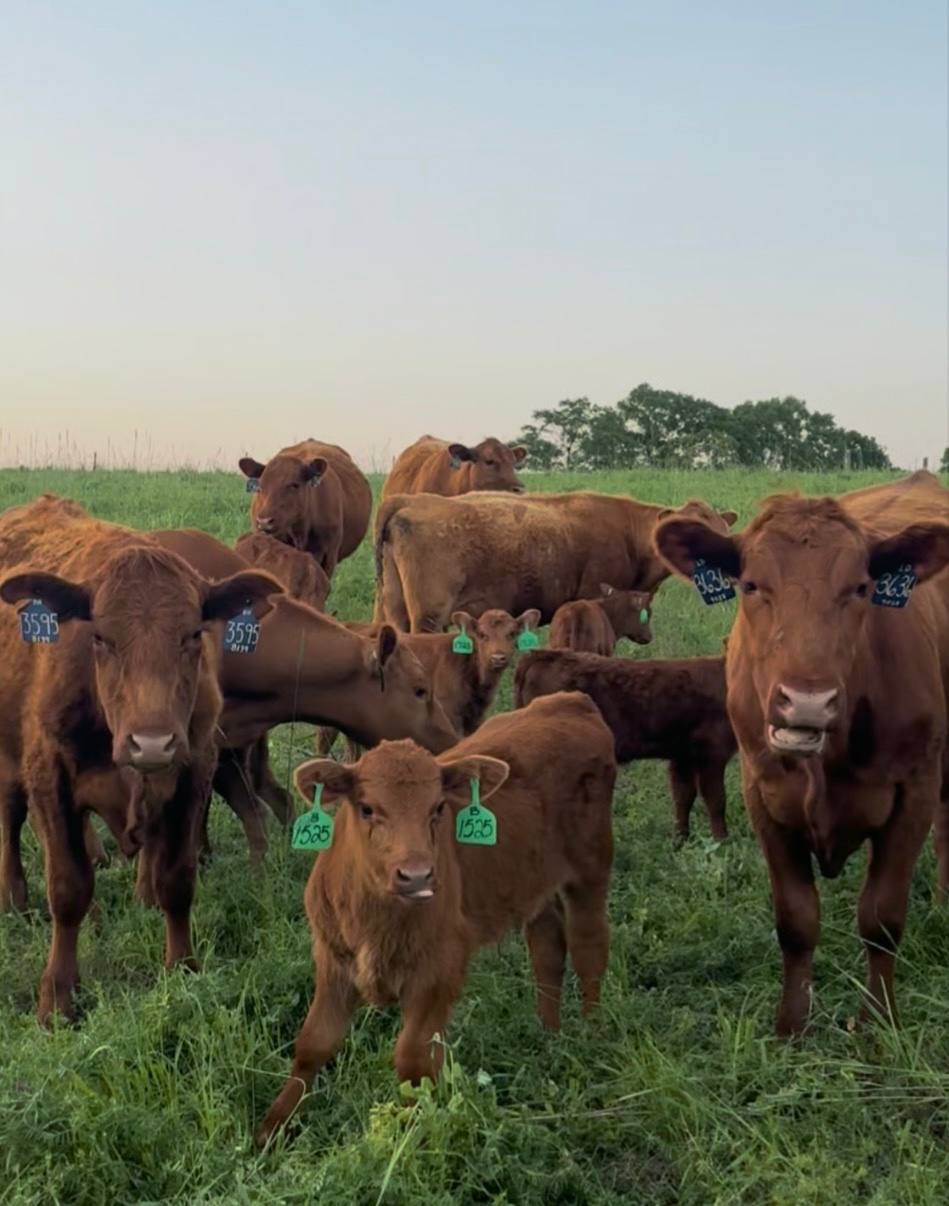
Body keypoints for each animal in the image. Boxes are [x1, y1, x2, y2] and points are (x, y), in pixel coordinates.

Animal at [0, 495, 281, 1023]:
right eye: (100, 637)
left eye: (193, 635)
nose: (151, 743)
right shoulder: (49, 775)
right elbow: (67, 887)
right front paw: (58, 997)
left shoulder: (193, 772)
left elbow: (177, 879)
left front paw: (183, 969)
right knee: (10, 819)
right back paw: (15, 898)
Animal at [255, 690, 616, 1146]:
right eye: (367, 808)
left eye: (438, 807)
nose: (416, 875)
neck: (376, 920)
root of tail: (570, 701)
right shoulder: (332, 958)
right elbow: (312, 1044)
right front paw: (271, 1129)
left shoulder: (440, 970)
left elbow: (412, 1059)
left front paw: (409, 1132)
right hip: (533, 882)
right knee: (548, 946)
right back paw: (548, 1033)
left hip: (591, 868)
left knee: (589, 947)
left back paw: (590, 1031)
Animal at [516, 650, 735, 841]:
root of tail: (545, 654)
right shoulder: (712, 753)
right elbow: (716, 800)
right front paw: (722, 842)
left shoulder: (683, 756)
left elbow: (683, 798)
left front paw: (681, 841)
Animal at [655, 471, 949, 1036]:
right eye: (750, 586)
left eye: (861, 588)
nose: (807, 701)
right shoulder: (762, 795)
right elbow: (795, 920)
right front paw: (791, 1026)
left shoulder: (915, 792)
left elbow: (882, 919)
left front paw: (878, 1024)